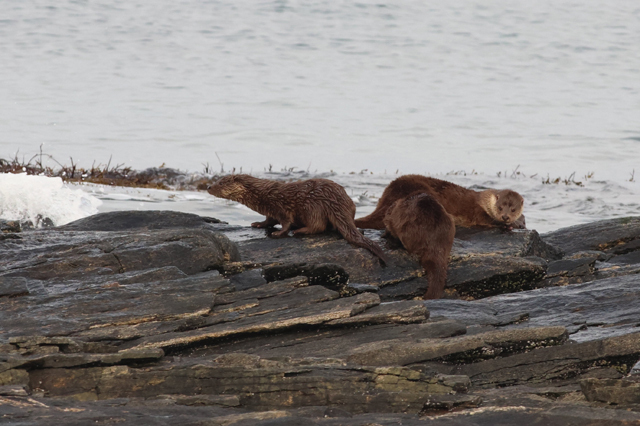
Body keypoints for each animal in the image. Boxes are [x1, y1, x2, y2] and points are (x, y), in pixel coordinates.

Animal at [209, 175, 384, 264]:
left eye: (221, 183)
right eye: (216, 180)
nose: (209, 187)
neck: (261, 195)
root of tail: (338, 201)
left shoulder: (280, 207)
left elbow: (285, 222)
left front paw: (278, 233)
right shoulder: (270, 211)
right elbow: (268, 220)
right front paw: (258, 224)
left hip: (311, 206)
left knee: (319, 225)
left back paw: (300, 230)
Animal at [356, 175, 524, 231]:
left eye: (513, 209)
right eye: (500, 207)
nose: (505, 217)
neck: (483, 201)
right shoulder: (478, 212)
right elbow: (486, 220)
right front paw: (511, 225)